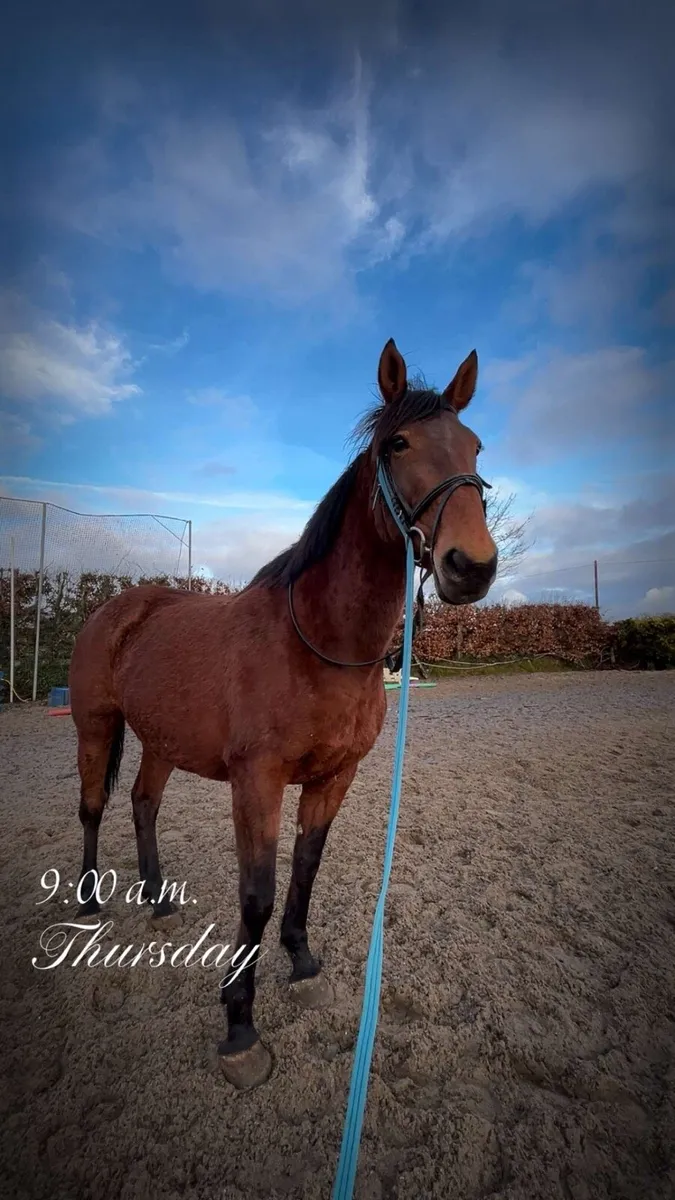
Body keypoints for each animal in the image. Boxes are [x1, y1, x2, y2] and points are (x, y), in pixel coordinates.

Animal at [68, 338, 498, 1090]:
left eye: (474, 445)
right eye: (398, 443)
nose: (469, 566)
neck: (320, 643)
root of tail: (118, 607)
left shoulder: (334, 778)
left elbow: (305, 871)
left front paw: (301, 964)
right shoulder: (257, 781)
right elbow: (257, 895)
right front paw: (239, 1026)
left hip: (160, 741)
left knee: (144, 803)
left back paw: (158, 900)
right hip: (95, 727)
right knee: (94, 808)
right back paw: (93, 905)